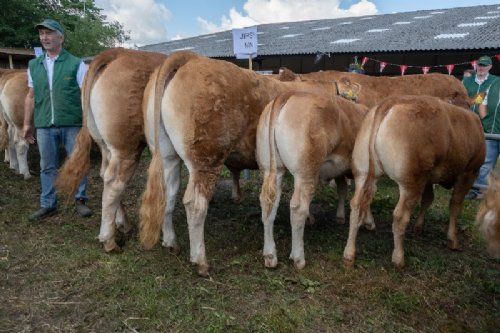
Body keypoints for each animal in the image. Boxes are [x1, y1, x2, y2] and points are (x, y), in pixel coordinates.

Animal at [258, 92, 368, 268]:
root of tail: (288, 94)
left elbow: (343, 189)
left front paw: (341, 217)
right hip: (305, 172)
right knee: (297, 208)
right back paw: (298, 258)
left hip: (272, 168)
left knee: (268, 203)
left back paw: (270, 256)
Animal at [344, 95, 484, 268]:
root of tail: (389, 102)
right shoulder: (469, 172)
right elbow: (455, 205)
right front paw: (453, 239)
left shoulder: (430, 177)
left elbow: (428, 199)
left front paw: (419, 226)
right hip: (411, 180)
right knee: (399, 216)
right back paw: (399, 258)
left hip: (363, 171)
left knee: (356, 204)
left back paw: (349, 254)